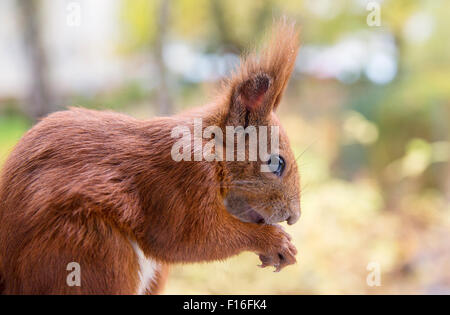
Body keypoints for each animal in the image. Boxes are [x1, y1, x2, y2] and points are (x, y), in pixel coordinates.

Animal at [0, 20, 302, 296]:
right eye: (276, 163)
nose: (294, 217)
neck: (209, 149)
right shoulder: (179, 186)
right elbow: (192, 239)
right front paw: (274, 242)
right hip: (91, 250)